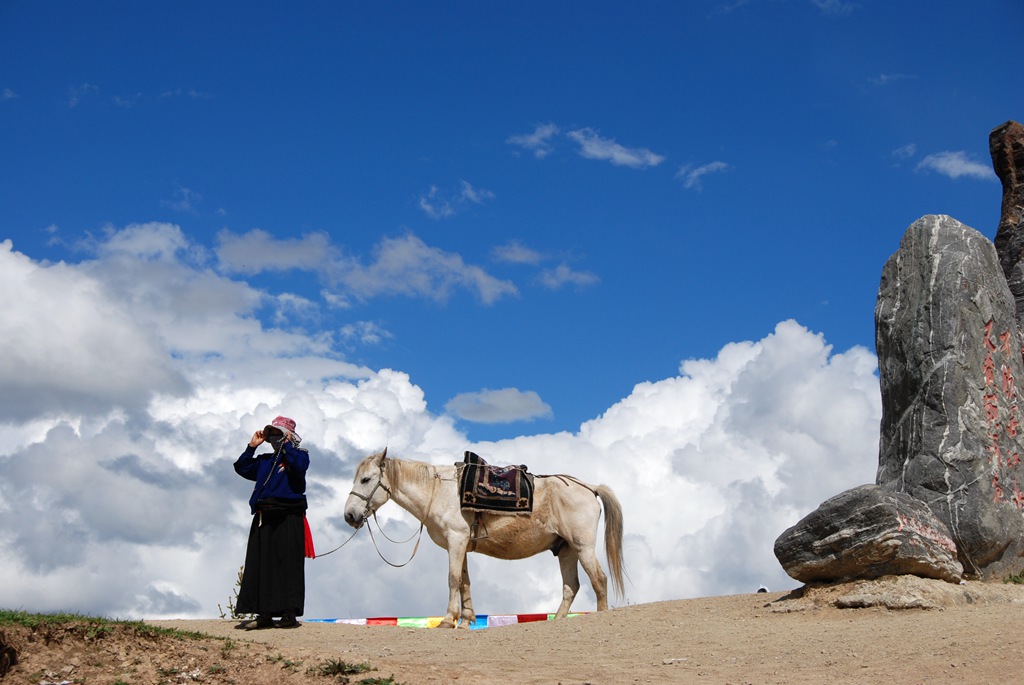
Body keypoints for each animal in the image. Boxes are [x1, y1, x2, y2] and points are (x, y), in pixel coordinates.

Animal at [344, 448, 622, 630]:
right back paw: (558, 621)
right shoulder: (461, 546)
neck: (438, 491)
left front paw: (448, 620)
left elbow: (453, 579)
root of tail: (589, 488)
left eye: (366, 479)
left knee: (598, 579)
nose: (349, 515)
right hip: (566, 549)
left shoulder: (456, 541)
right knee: (570, 586)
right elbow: (465, 582)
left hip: (582, 547)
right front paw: (466, 620)